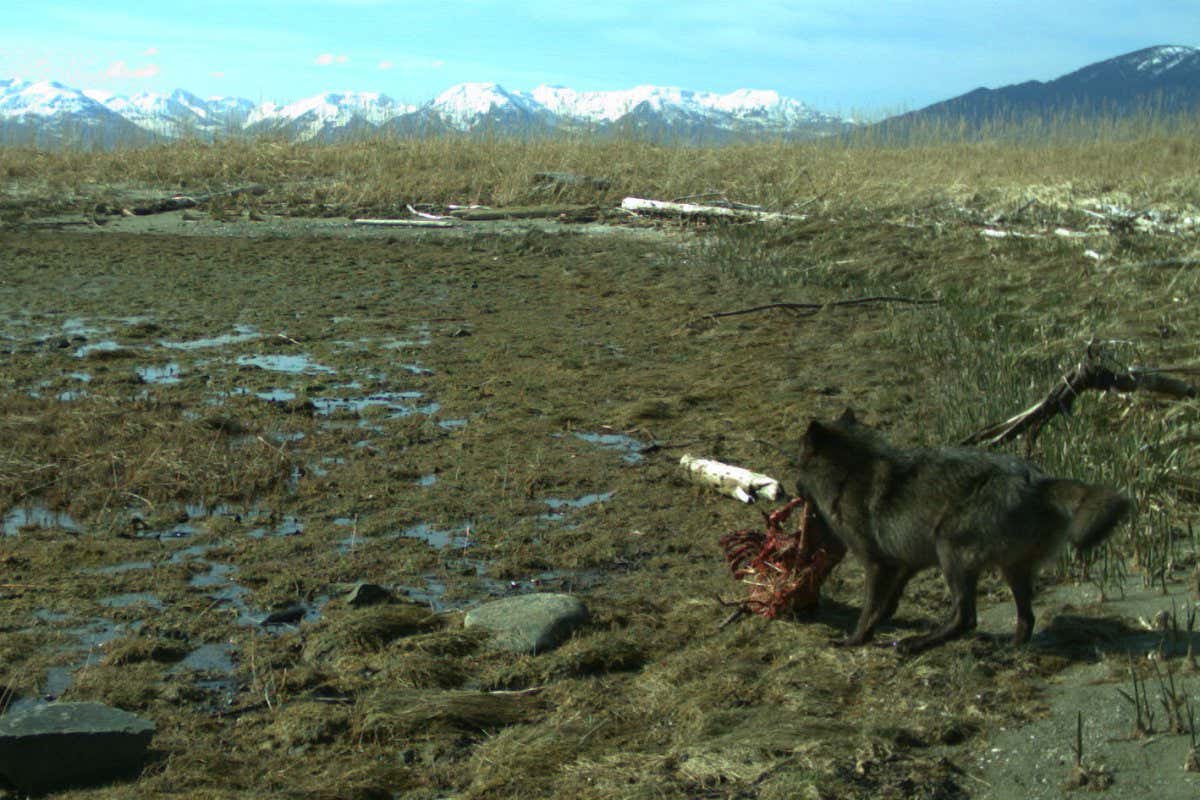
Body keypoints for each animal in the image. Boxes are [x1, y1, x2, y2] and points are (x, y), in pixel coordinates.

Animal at [794, 410, 1132, 653]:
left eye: (796, 467)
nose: (793, 491)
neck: (848, 472)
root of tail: (1038, 482)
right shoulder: (905, 563)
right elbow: (888, 601)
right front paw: (885, 619)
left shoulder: (879, 564)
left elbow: (869, 609)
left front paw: (854, 640)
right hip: (1012, 570)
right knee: (1026, 618)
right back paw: (1008, 650)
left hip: (950, 553)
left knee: (966, 617)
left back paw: (916, 644)